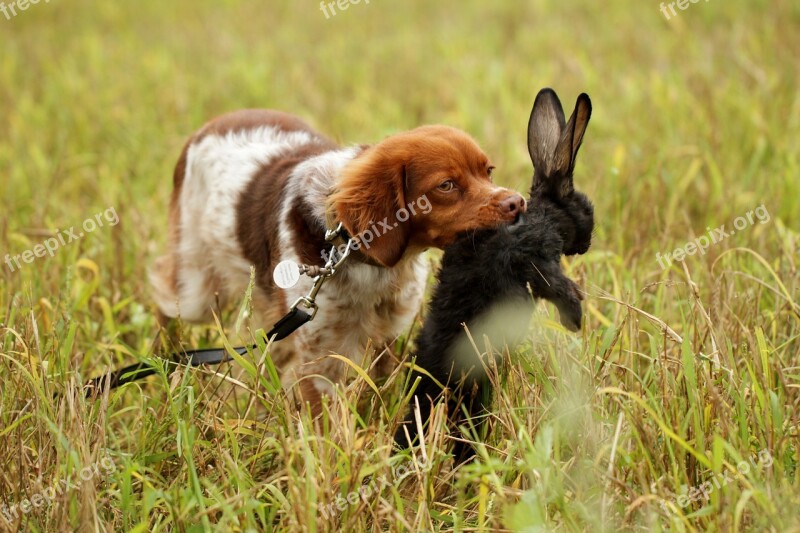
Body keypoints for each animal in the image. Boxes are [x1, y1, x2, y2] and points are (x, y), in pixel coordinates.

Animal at [150, 108, 528, 408]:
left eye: (488, 170)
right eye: (446, 185)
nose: (517, 202)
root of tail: (208, 126)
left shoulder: (386, 338)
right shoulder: (319, 359)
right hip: (197, 289)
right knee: (162, 286)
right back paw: (162, 362)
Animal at [396, 89, 592, 460]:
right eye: (586, 210)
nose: (587, 243)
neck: (545, 216)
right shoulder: (535, 259)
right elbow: (557, 284)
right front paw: (575, 319)